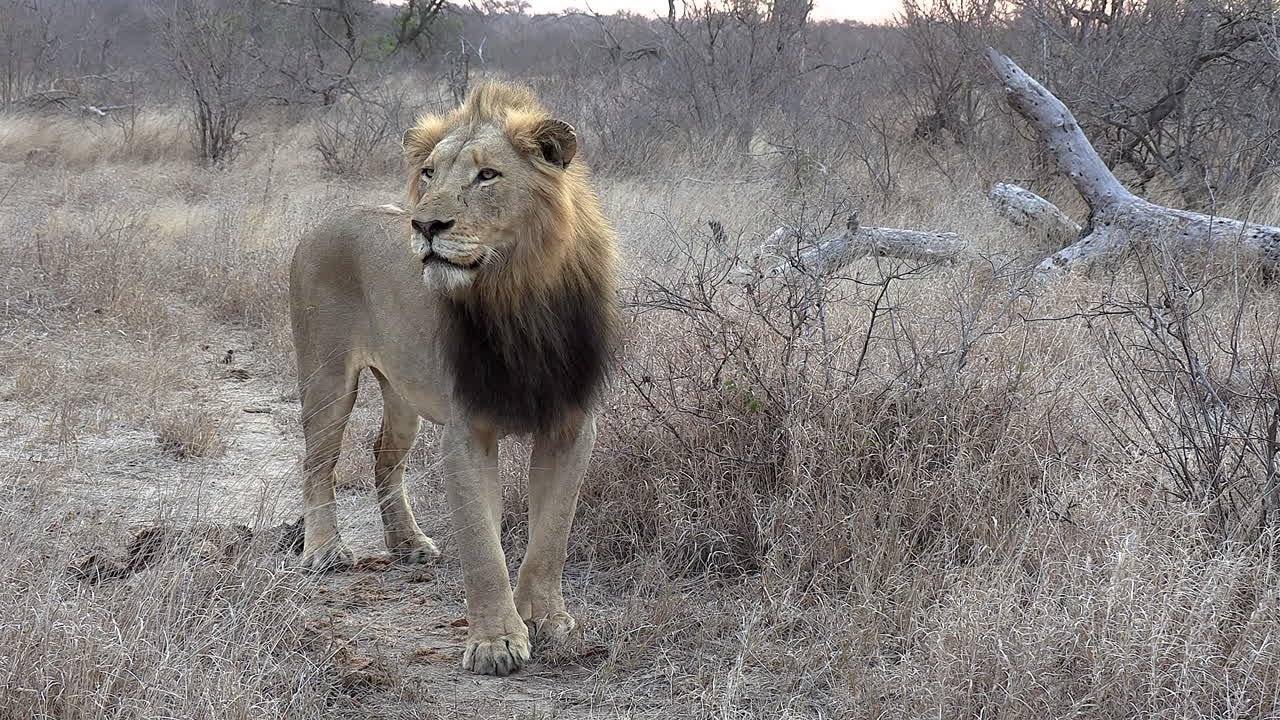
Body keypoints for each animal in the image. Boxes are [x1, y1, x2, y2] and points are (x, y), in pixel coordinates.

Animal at [288, 81, 620, 676]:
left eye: (487, 175)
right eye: (428, 173)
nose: (424, 226)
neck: (518, 298)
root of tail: (325, 220)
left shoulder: (571, 426)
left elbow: (552, 534)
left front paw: (549, 621)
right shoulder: (467, 432)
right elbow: (482, 546)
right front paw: (495, 642)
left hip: (403, 393)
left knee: (383, 455)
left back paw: (408, 543)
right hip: (326, 378)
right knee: (317, 463)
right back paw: (324, 551)